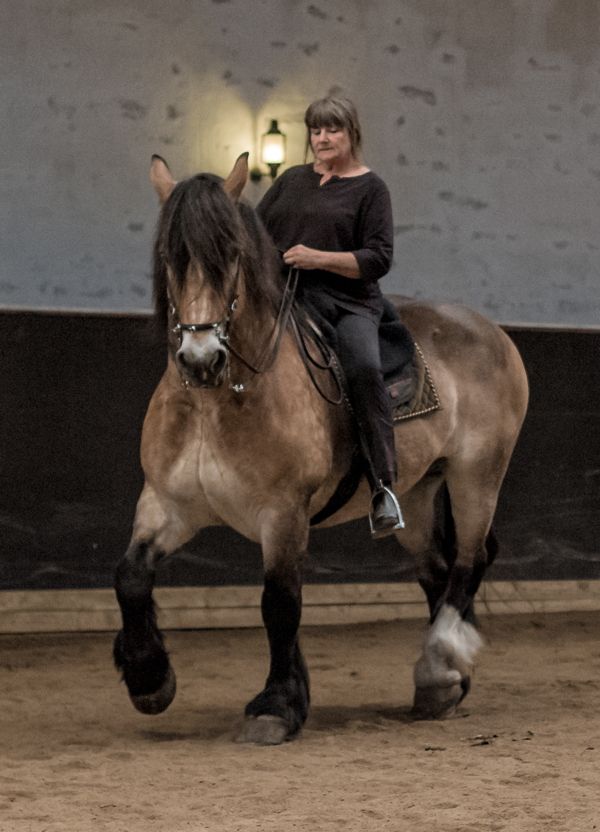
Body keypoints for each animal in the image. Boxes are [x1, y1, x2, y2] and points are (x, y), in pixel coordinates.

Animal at [113, 153, 528, 744]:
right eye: (172, 256)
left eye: (230, 254)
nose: (200, 358)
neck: (217, 401)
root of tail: (491, 331)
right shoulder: (167, 505)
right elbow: (130, 577)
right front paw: (150, 678)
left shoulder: (283, 512)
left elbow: (280, 603)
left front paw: (275, 707)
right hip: (420, 491)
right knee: (437, 568)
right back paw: (444, 686)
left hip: (478, 475)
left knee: (470, 562)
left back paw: (440, 662)